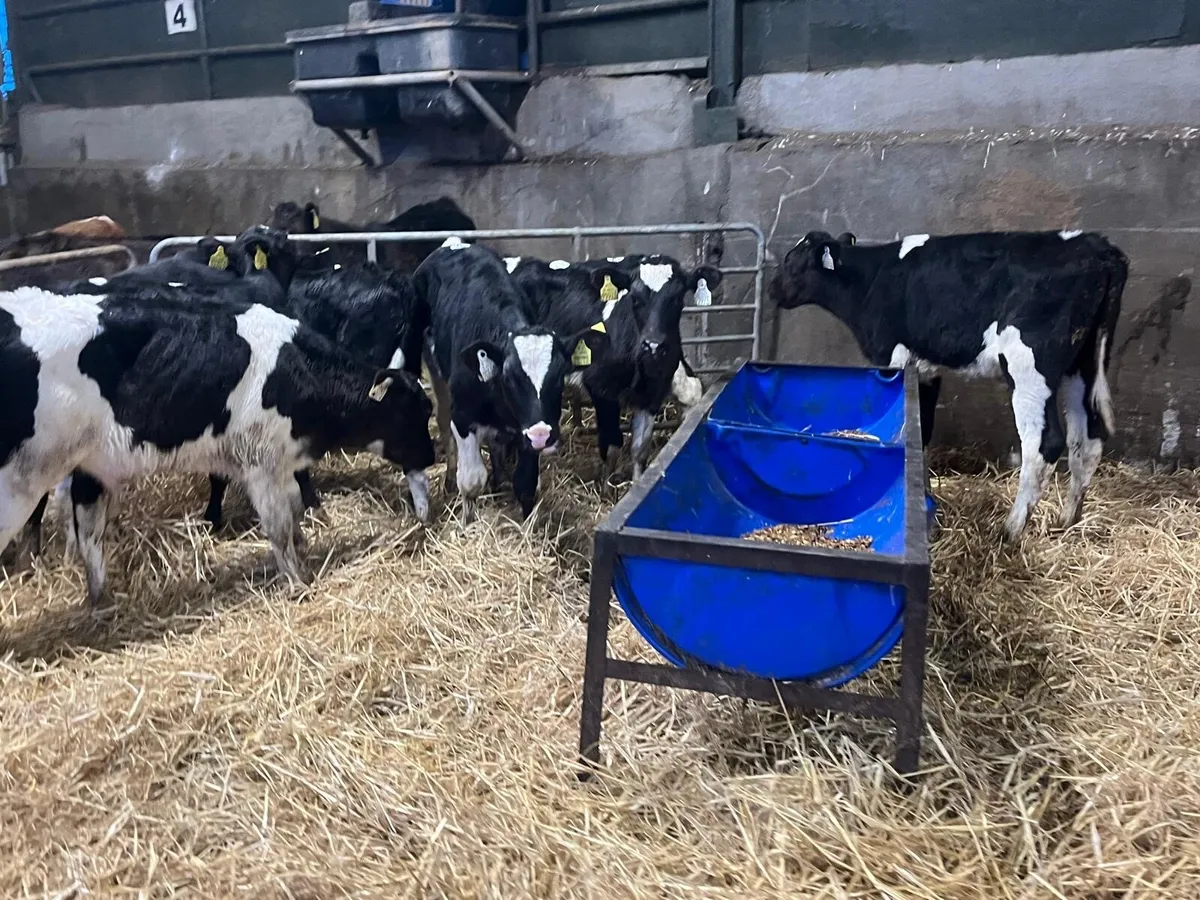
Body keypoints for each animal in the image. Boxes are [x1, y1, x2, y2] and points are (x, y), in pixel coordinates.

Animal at [0, 286, 435, 606]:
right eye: (412, 412)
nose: (431, 456)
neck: (297, 370)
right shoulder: (261, 462)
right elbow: (279, 527)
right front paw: (298, 582)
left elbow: (295, 511)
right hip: (18, 483)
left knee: (88, 531)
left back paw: (100, 602)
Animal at [416, 239, 607, 522]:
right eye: (510, 377)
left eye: (559, 376)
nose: (542, 435)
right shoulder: (462, 418)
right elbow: (471, 482)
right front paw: (467, 522)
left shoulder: (525, 428)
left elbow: (526, 485)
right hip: (435, 372)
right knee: (443, 422)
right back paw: (450, 480)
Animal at [510, 254, 722, 480]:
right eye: (635, 299)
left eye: (677, 299)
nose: (653, 345)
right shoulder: (601, 388)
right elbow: (611, 445)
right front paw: (606, 484)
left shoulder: (653, 394)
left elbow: (640, 449)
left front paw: (637, 482)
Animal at [769, 229, 1127, 540]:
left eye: (791, 259)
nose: (772, 287)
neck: (870, 281)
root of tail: (1097, 245)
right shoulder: (925, 369)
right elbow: (922, 429)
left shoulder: (892, 358)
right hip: (1084, 364)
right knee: (1087, 438)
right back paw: (1068, 520)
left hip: (1029, 367)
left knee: (1044, 444)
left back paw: (1011, 530)